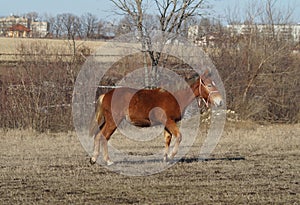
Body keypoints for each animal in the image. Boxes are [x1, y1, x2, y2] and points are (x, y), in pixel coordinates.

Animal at [89, 70, 223, 165]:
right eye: (209, 85)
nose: (220, 101)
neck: (176, 98)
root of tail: (105, 95)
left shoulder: (167, 124)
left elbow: (167, 139)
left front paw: (165, 158)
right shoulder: (169, 121)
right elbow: (179, 136)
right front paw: (171, 156)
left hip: (107, 121)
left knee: (98, 136)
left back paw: (94, 158)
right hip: (113, 121)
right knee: (104, 137)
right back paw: (108, 160)